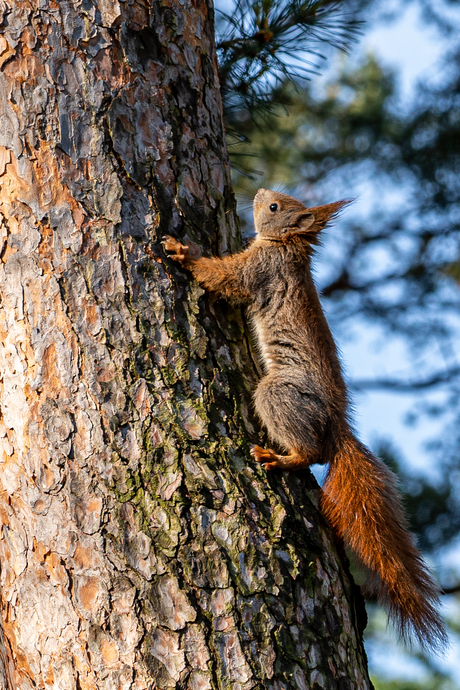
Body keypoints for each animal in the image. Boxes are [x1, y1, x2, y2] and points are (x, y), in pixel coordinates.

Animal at [164, 185, 448, 648]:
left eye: (275, 206)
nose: (259, 191)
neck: (286, 247)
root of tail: (338, 428)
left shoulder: (259, 270)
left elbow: (224, 278)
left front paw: (183, 252)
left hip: (279, 394)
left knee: (311, 453)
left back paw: (279, 458)